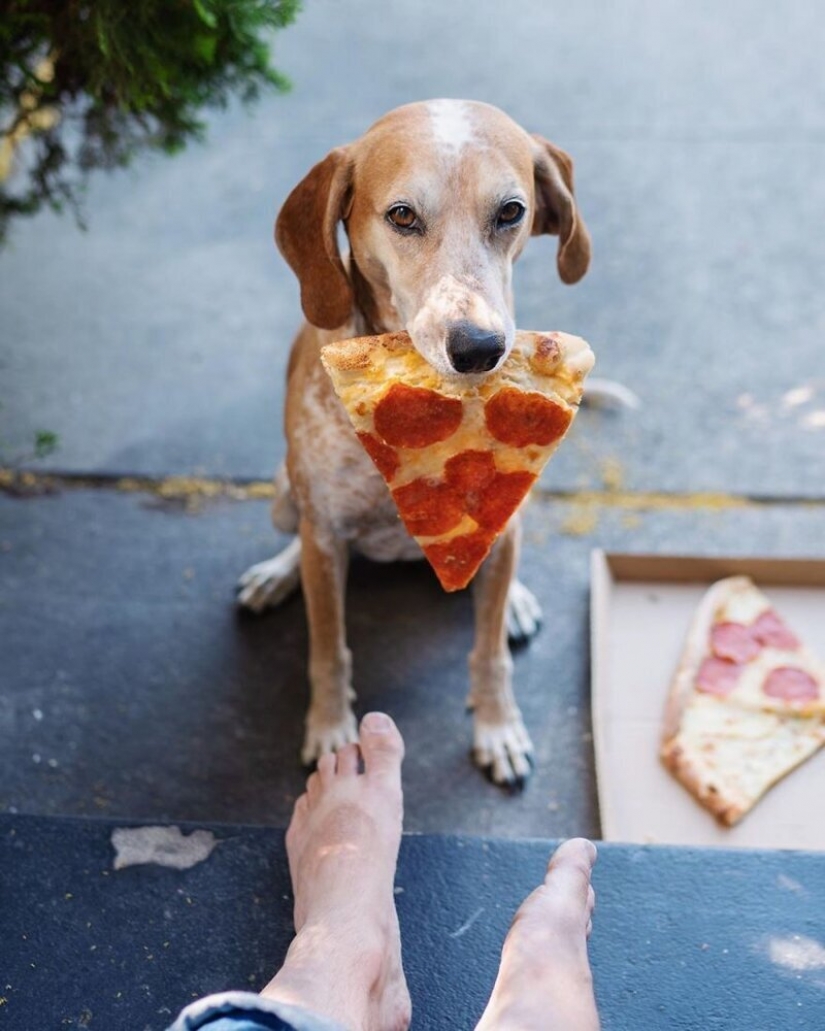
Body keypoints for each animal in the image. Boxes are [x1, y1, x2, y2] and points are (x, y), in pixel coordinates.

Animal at [238, 100, 594, 783]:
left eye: (511, 211)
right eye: (402, 215)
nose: (479, 349)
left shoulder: (499, 523)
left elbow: (488, 654)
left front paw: (497, 726)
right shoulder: (326, 534)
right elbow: (329, 650)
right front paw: (331, 731)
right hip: (283, 495)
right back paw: (276, 573)